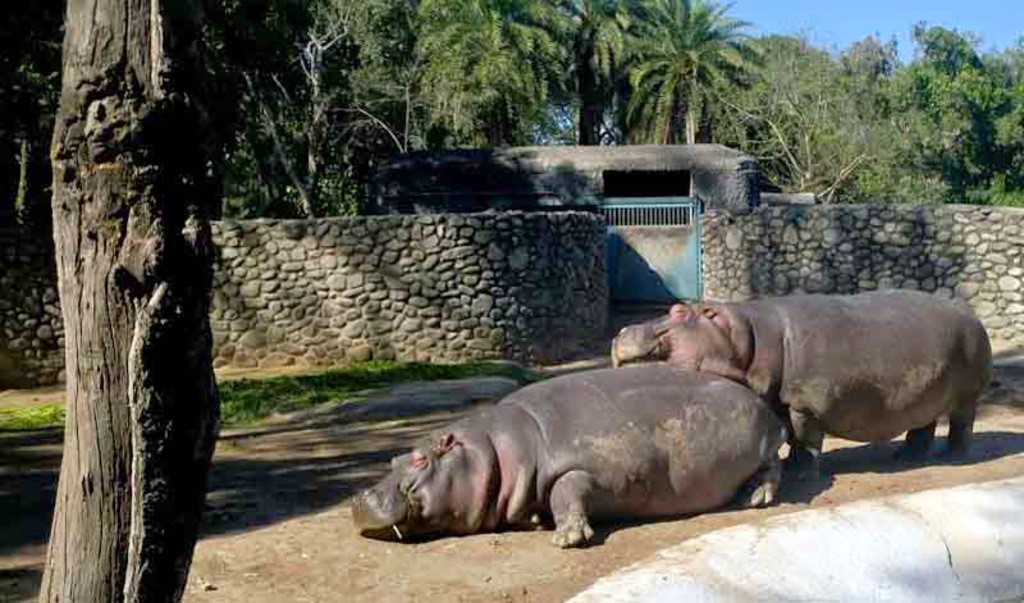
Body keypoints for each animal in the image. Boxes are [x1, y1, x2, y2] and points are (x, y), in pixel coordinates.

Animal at [351, 366, 786, 548]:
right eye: (393, 460)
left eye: (420, 459)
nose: (358, 497)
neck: (494, 448)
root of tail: (759, 402)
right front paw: (540, 523)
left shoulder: (587, 467)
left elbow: (567, 491)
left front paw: (566, 538)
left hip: (762, 446)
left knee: (772, 467)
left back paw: (756, 498)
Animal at [611, 290, 992, 476]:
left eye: (678, 312)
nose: (621, 331)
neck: (744, 335)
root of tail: (971, 314)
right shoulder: (777, 399)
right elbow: (790, 434)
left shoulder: (802, 402)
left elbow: (803, 436)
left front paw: (799, 472)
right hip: (929, 391)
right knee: (923, 425)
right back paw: (906, 457)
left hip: (967, 394)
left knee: (961, 423)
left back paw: (954, 456)